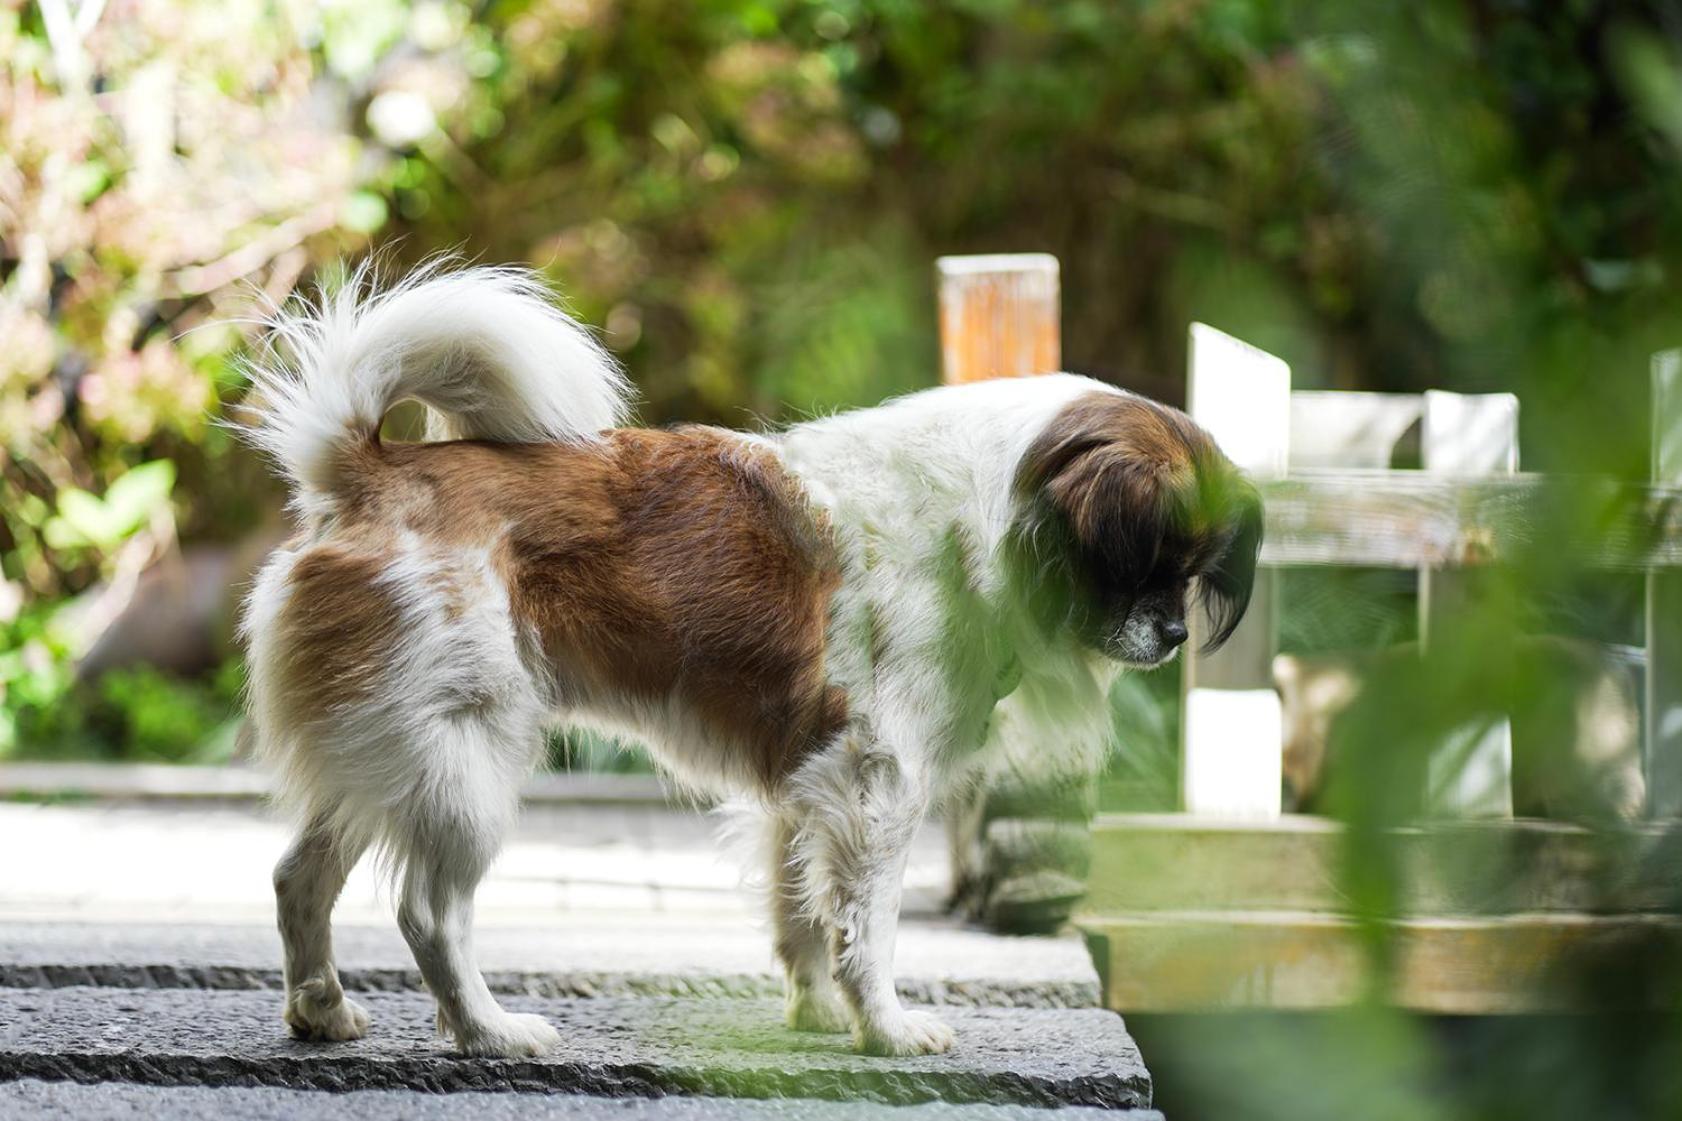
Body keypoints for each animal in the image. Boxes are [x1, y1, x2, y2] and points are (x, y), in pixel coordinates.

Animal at [237, 265, 1264, 1050]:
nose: (1175, 635)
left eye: (1191, 574)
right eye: (1149, 563)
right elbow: (868, 929)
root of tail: (371, 470)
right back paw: (489, 1030)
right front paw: (886, 1029)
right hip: (464, 760)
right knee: (428, 912)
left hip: (382, 752)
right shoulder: (878, 787)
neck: (985, 517)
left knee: (297, 877)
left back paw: (320, 1010)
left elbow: (803, 915)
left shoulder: (808, 783)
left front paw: (817, 1016)